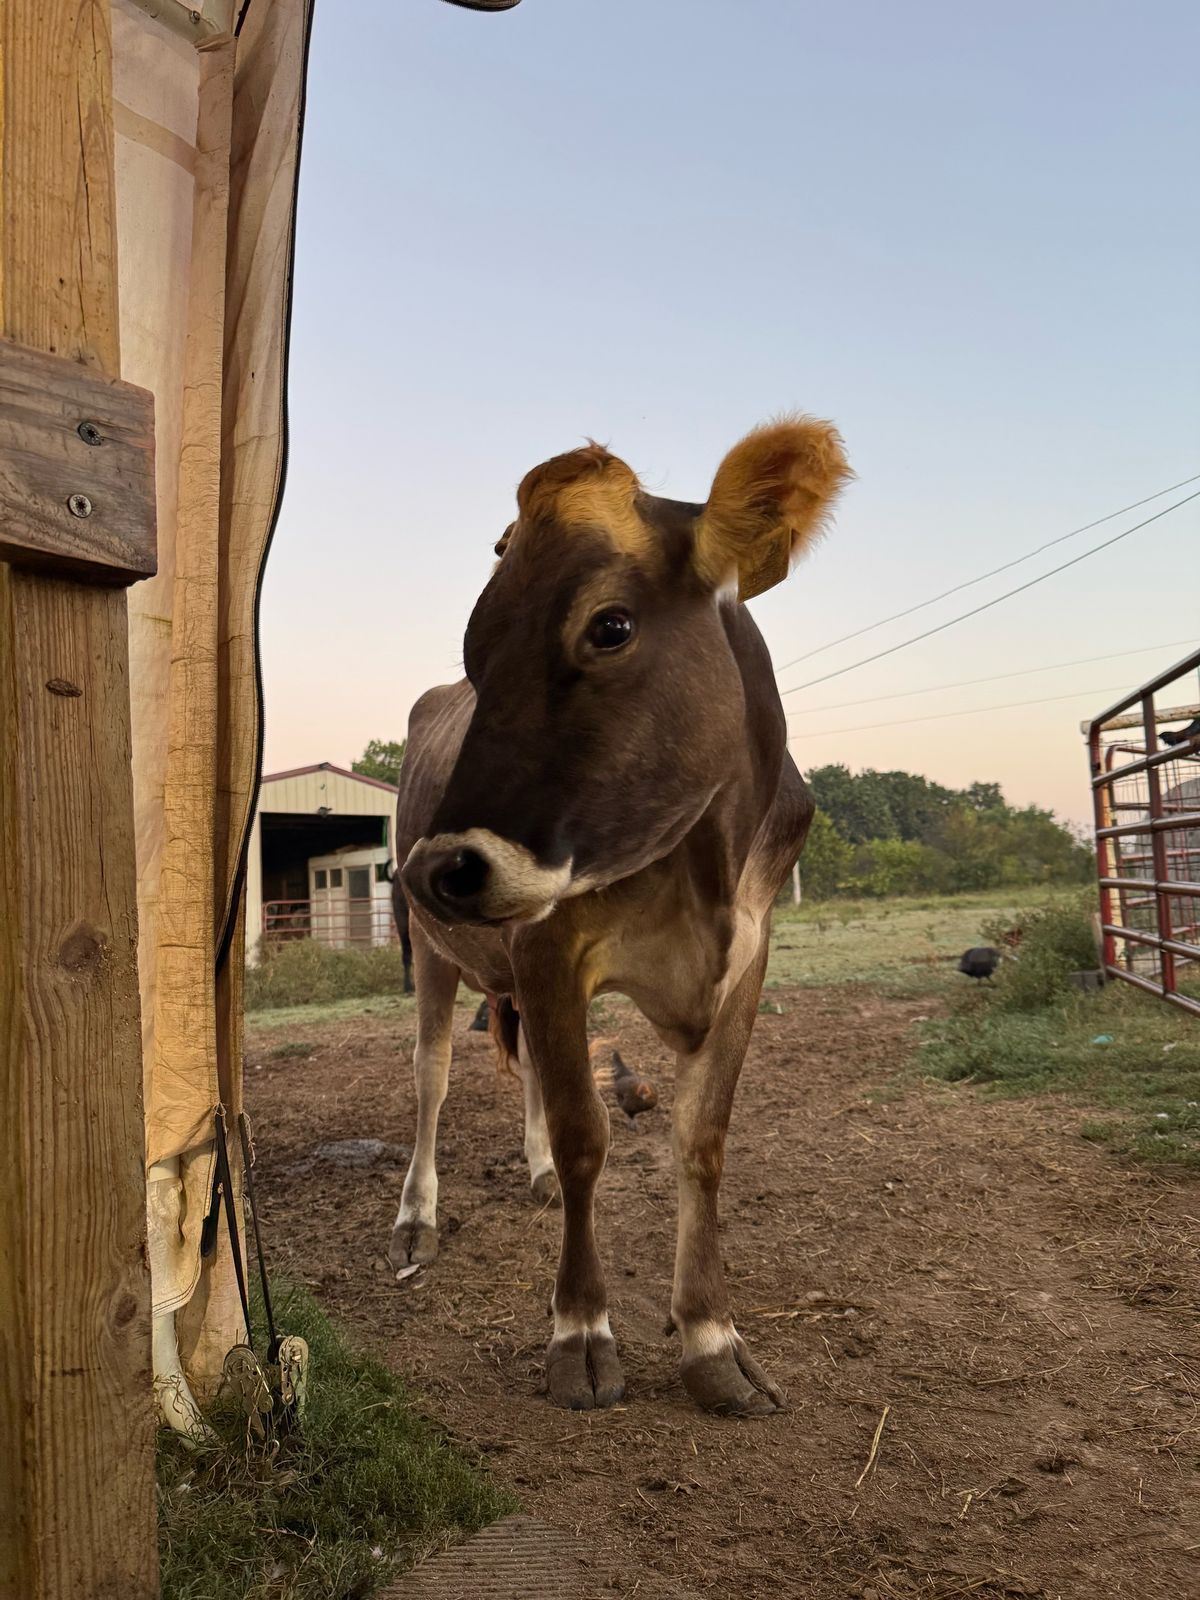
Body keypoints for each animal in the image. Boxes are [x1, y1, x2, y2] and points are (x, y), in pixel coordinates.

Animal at [391, 419, 851, 1415]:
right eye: (477, 654)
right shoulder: (549, 945)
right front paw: (581, 1331)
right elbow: (584, 1139)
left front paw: (712, 1337)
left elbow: (701, 1141)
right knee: (432, 1080)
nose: (440, 868)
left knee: (521, 1067)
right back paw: (416, 1218)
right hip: (438, 960)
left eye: (609, 626)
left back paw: (524, 1177)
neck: (702, 867)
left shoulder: (747, 957)